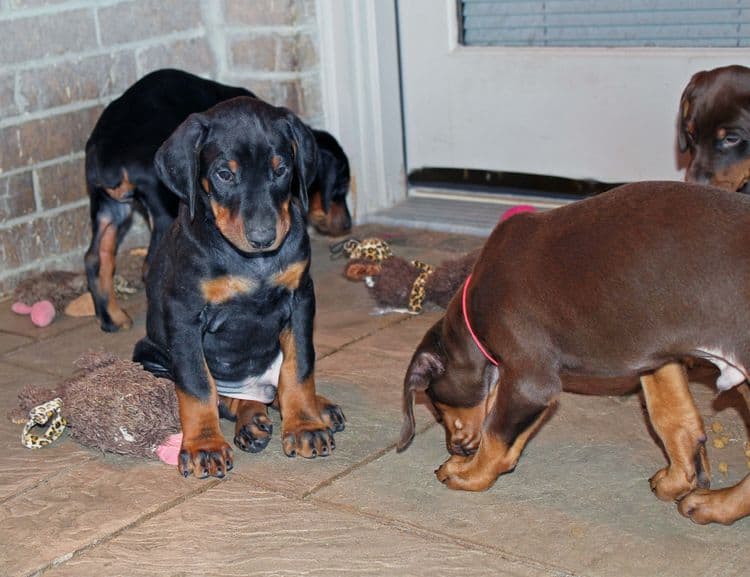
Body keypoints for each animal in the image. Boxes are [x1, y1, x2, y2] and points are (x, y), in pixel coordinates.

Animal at [85, 71, 352, 332]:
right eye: (340, 187)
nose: (347, 225)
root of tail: (106, 152)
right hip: (162, 208)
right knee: (149, 265)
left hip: (108, 208)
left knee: (95, 258)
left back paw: (111, 319)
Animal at [134, 97, 346, 480]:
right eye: (224, 174)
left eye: (281, 169)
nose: (263, 238)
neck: (251, 262)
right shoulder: (184, 313)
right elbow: (197, 384)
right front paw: (203, 447)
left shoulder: (301, 297)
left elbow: (300, 367)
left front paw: (305, 425)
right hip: (151, 355)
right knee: (227, 399)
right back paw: (251, 421)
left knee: (273, 389)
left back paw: (308, 409)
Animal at [402, 181, 750, 528]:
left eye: (437, 406)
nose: (455, 448)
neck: (474, 315)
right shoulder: (659, 356)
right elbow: (672, 418)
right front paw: (678, 479)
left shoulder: (530, 383)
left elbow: (496, 436)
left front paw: (469, 474)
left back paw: (715, 505)